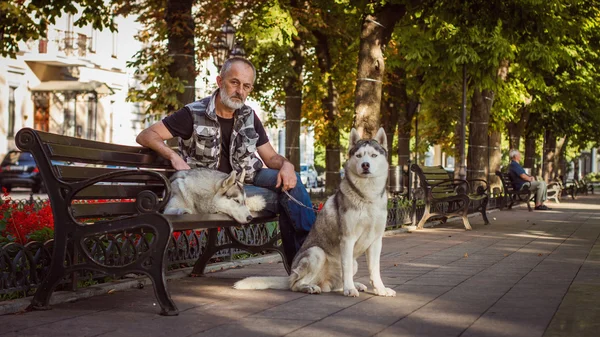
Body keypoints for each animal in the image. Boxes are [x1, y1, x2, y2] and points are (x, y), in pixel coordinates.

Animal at [237, 127, 396, 296]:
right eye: (359, 155)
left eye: (373, 155)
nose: (365, 165)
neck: (367, 197)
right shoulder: (347, 239)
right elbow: (346, 267)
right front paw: (350, 289)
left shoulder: (376, 240)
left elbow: (375, 269)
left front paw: (380, 289)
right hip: (316, 253)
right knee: (296, 284)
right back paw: (311, 287)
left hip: (353, 264)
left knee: (336, 284)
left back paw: (352, 285)